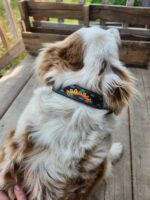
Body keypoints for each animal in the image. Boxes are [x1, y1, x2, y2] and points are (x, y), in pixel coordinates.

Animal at [0, 27, 135, 200]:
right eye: (104, 30)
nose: (114, 28)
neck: (79, 97)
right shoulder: (101, 164)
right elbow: (109, 158)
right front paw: (116, 150)